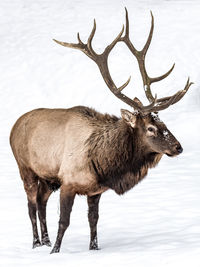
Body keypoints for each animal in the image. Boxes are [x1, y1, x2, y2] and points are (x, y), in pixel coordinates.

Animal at [9, 8, 192, 255]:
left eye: (164, 123)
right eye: (151, 128)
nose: (178, 147)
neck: (104, 163)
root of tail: (14, 125)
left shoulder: (95, 190)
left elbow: (93, 220)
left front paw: (94, 249)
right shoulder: (68, 182)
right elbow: (64, 221)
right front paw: (55, 251)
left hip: (48, 178)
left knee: (40, 202)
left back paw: (44, 240)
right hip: (25, 168)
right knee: (30, 205)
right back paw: (38, 243)